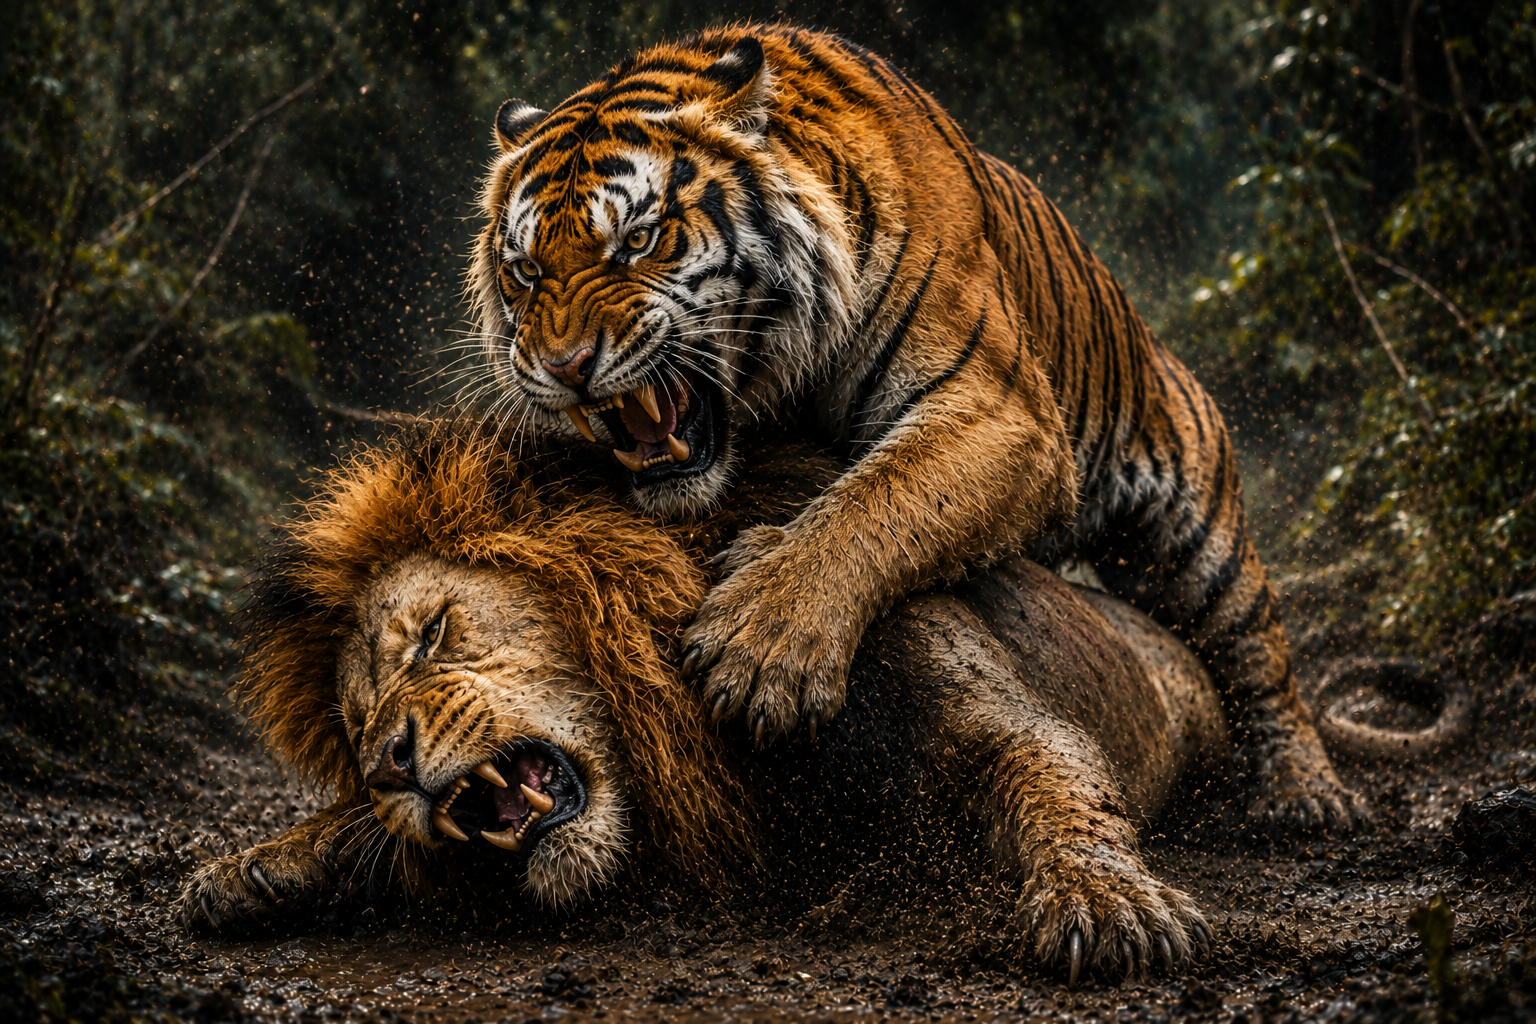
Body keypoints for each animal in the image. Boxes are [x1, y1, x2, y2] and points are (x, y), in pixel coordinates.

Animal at [177, 426, 1461, 983]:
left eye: (434, 633)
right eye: (353, 729)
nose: (391, 760)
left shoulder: (972, 713)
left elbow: (1053, 788)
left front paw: (1106, 902)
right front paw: (249, 869)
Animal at [469, 24, 1360, 832]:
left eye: (639, 241)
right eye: (525, 272)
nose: (565, 366)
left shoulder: (1001, 409)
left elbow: (882, 501)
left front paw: (760, 653)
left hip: (1199, 530)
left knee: (1262, 655)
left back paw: (1308, 794)